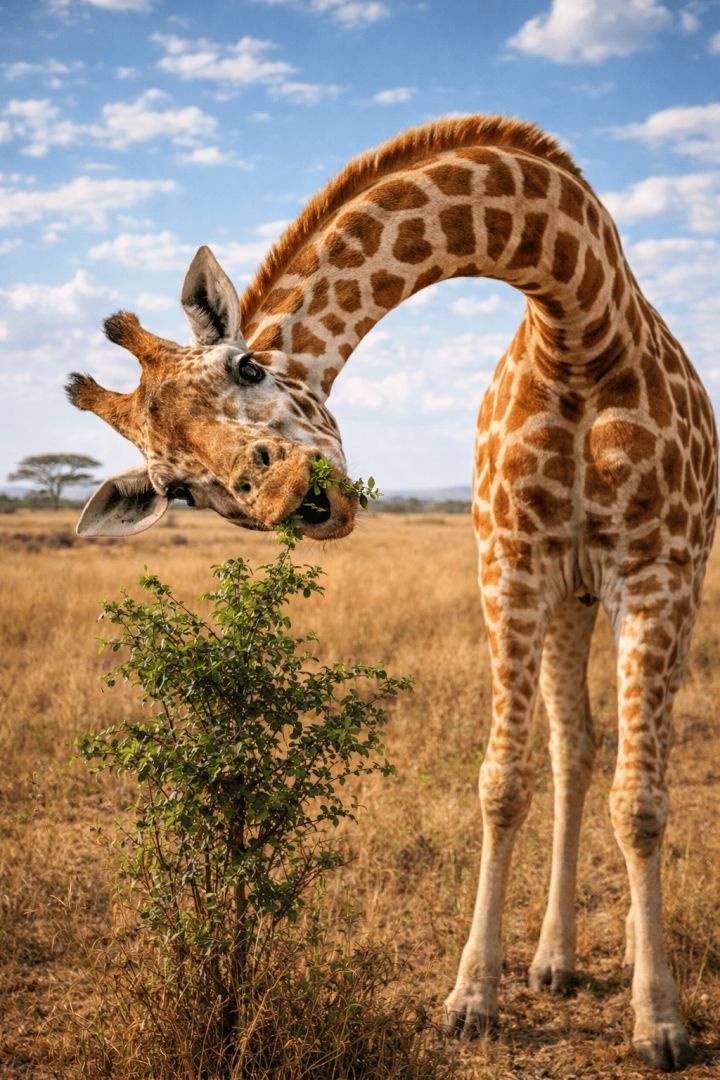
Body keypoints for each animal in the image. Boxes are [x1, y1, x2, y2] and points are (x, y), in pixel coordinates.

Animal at [67, 115, 718, 1071]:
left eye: (250, 366)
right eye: (176, 488)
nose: (294, 497)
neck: (579, 321)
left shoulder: (656, 568)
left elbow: (641, 801)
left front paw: (661, 1023)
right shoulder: (512, 562)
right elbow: (503, 782)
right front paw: (471, 1001)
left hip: (659, 582)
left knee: (626, 761)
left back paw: (630, 958)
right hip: (571, 596)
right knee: (577, 749)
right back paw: (555, 961)